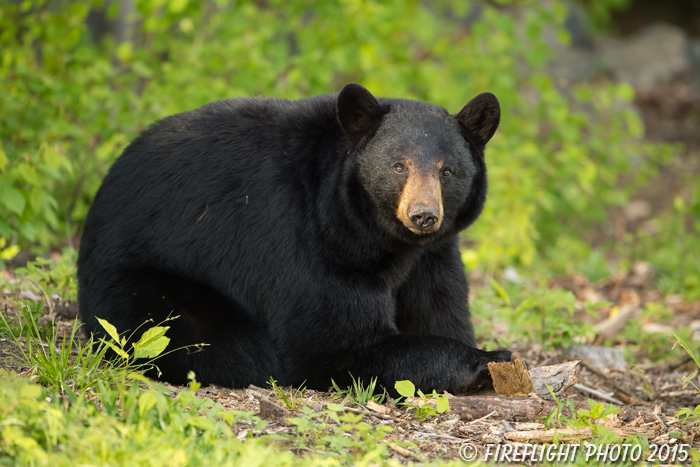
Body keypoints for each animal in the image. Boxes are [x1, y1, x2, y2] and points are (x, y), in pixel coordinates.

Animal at [79, 84, 512, 394]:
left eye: (447, 171)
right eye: (398, 166)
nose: (423, 215)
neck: (382, 237)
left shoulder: (433, 256)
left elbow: (440, 309)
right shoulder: (311, 240)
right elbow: (333, 344)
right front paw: (489, 358)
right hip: (147, 284)